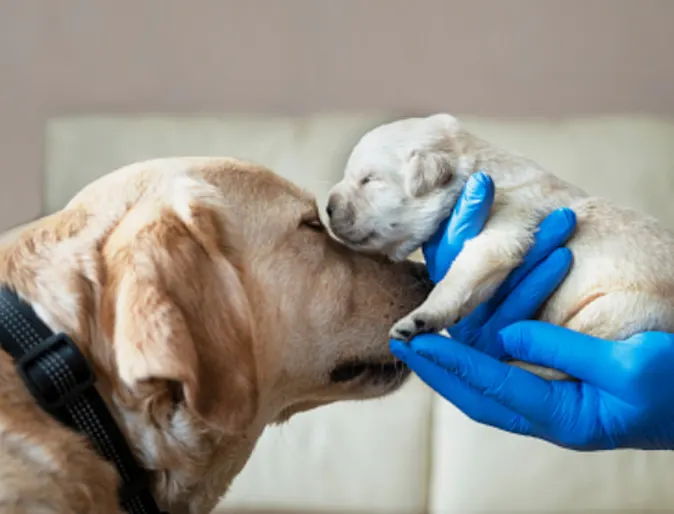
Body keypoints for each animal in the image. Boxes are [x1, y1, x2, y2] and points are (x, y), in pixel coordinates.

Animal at [326, 112, 674, 380]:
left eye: (370, 179)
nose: (328, 207)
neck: (477, 170)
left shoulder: (509, 220)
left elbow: (464, 272)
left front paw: (419, 318)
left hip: (621, 309)